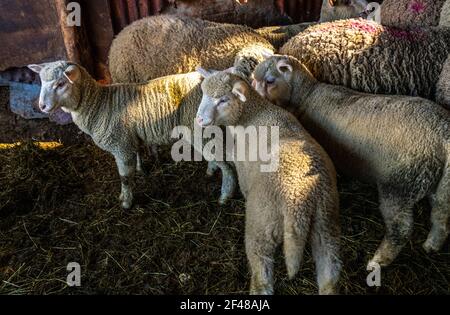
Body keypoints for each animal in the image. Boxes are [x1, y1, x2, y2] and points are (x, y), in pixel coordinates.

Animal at [28, 61, 237, 210]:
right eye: (41, 82)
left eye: (61, 83)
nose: (42, 106)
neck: (98, 104)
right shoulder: (129, 140)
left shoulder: (121, 145)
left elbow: (125, 178)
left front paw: (126, 202)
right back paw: (211, 171)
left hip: (199, 129)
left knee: (227, 165)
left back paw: (225, 196)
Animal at [196, 68, 342, 296]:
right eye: (203, 94)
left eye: (223, 100)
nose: (199, 120)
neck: (251, 114)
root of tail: (299, 203)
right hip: (326, 223)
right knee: (330, 272)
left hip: (262, 224)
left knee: (262, 275)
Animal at [253, 53, 450, 266]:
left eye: (269, 81)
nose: (252, 97)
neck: (307, 95)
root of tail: (444, 134)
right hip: (438, 182)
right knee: (441, 215)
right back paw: (431, 245)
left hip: (400, 185)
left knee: (401, 229)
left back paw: (378, 260)